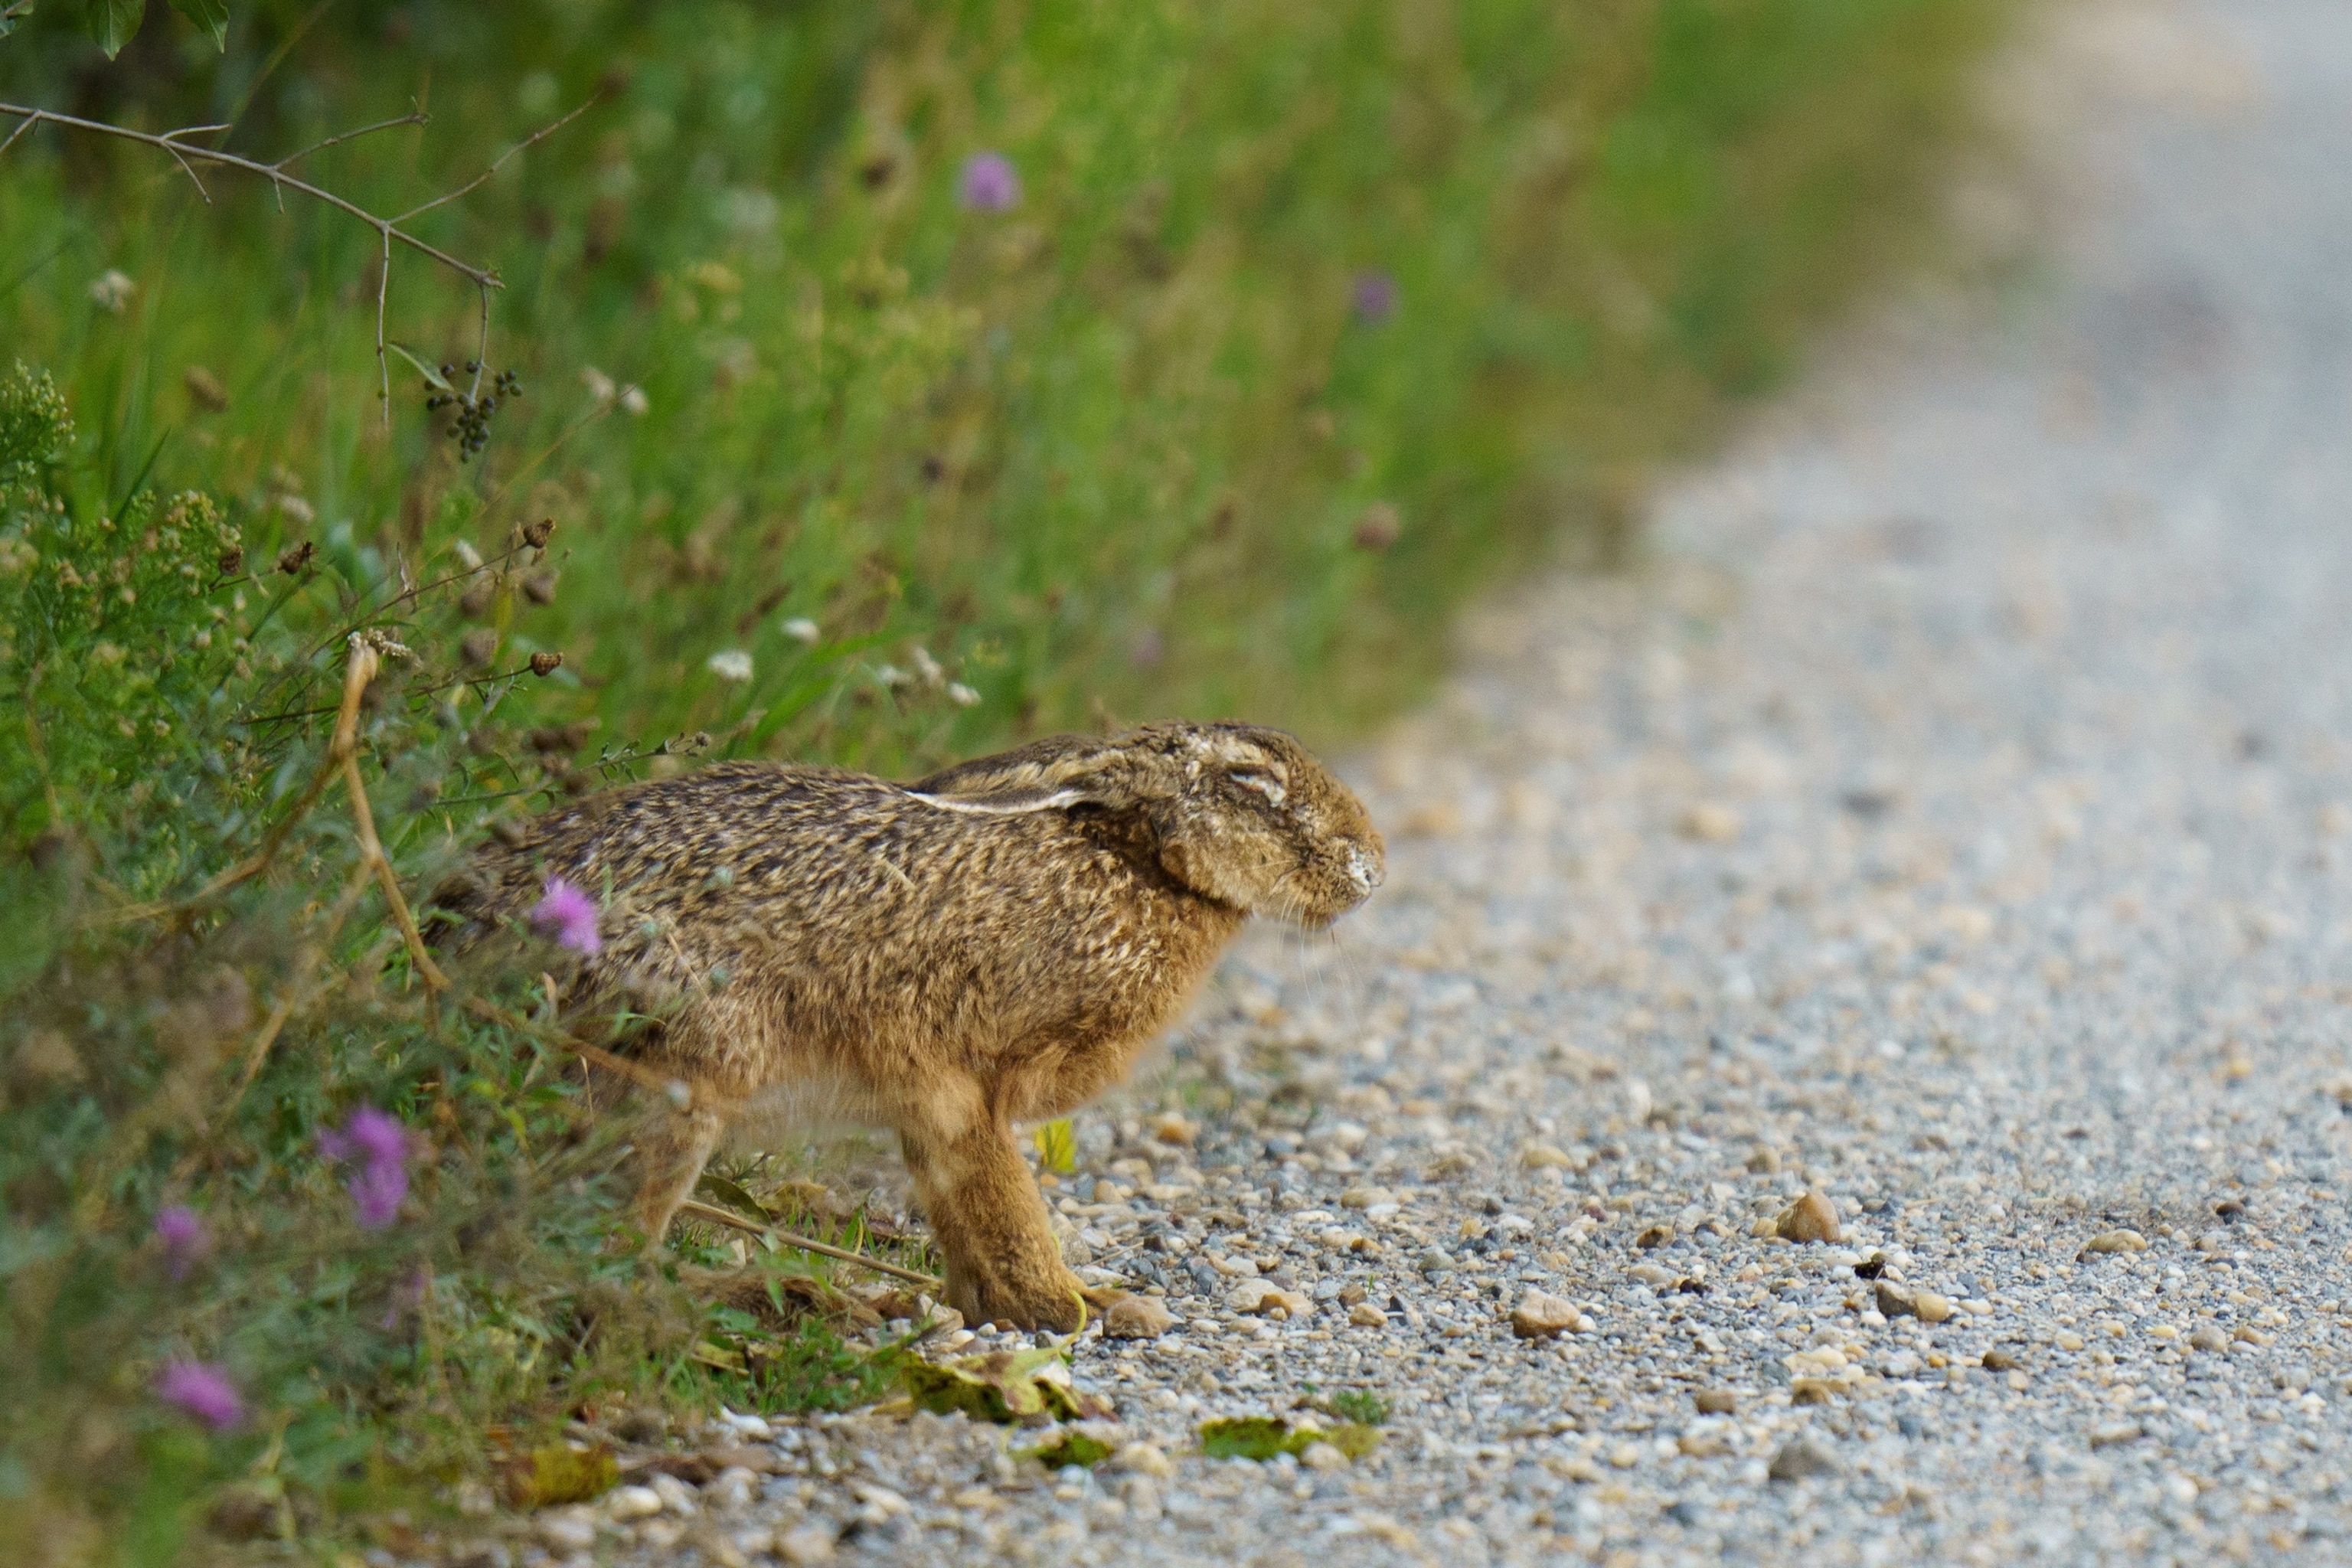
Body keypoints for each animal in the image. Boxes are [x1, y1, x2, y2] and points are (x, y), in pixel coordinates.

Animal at [441, 720, 1383, 1330]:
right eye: (1248, 781)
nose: (1371, 865)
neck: (1135, 863)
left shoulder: (931, 1105)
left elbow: (962, 1214)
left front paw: (1011, 1306)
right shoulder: (961, 1084)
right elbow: (1004, 1201)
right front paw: (1070, 1307)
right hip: (682, 1076)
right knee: (596, 1254)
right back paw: (786, 1304)